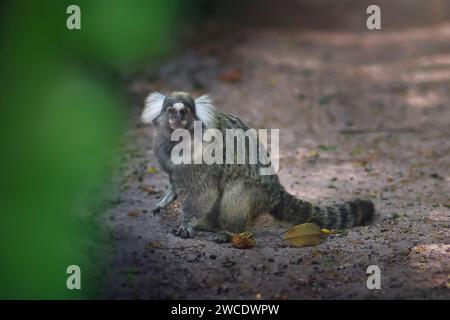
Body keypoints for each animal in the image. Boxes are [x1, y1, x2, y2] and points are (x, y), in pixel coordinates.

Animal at [141, 91, 372, 239]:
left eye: (185, 111)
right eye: (171, 110)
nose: (177, 118)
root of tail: (276, 190)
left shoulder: (202, 157)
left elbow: (205, 192)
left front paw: (187, 225)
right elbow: (176, 181)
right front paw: (166, 198)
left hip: (256, 191)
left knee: (233, 197)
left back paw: (228, 233)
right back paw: (209, 226)